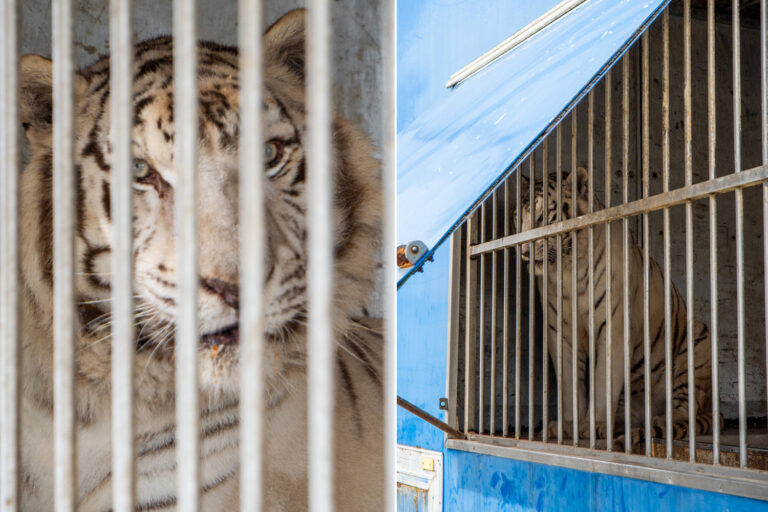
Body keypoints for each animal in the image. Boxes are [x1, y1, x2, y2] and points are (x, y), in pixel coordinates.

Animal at [516, 166, 717, 448]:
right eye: (519, 216)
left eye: (543, 216)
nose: (523, 251)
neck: (567, 268)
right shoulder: (560, 331)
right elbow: (569, 383)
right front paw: (568, 425)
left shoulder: (614, 326)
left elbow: (603, 381)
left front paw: (594, 425)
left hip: (697, 338)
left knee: (686, 409)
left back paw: (660, 421)